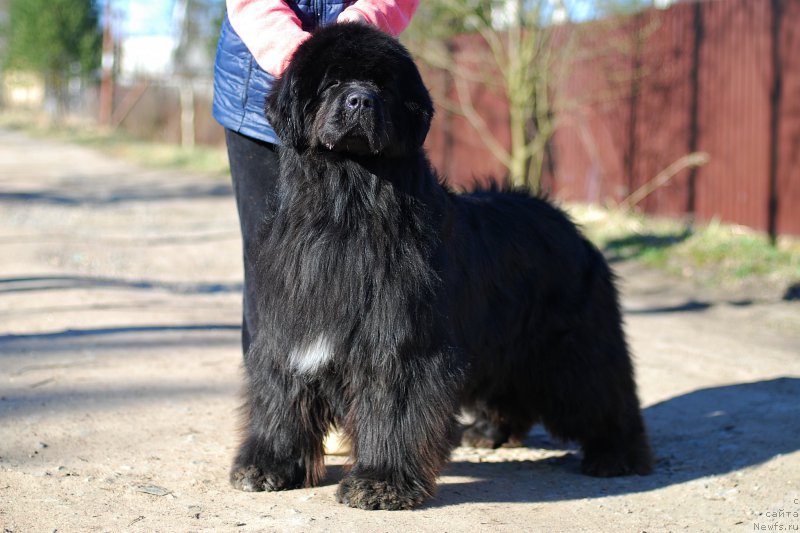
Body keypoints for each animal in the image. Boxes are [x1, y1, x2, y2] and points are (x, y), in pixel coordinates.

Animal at [230, 22, 648, 510]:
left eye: (384, 86)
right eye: (331, 82)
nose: (360, 100)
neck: (344, 209)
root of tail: (568, 223)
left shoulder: (400, 342)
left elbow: (393, 407)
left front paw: (381, 482)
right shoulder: (291, 331)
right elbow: (282, 396)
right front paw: (268, 465)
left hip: (572, 344)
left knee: (602, 388)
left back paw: (616, 455)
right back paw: (489, 431)